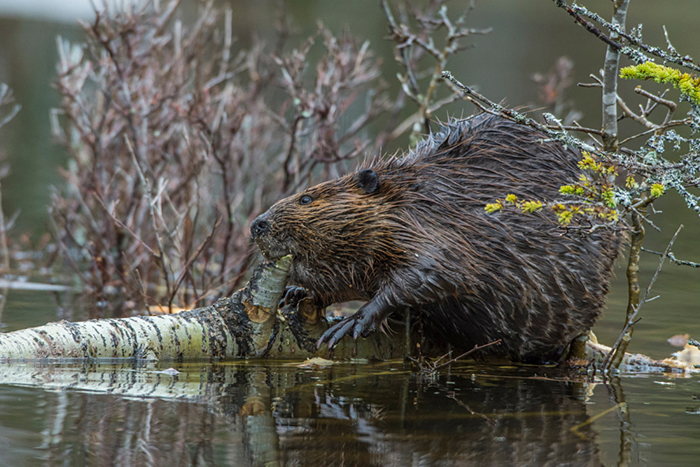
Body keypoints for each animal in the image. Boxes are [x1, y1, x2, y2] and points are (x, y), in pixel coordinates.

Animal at [249, 113, 620, 362]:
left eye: (306, 199)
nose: (257, 225)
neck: (414, 198)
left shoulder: (439, 227)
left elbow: (436, 272)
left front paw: (354, 320)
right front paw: (296, 293)